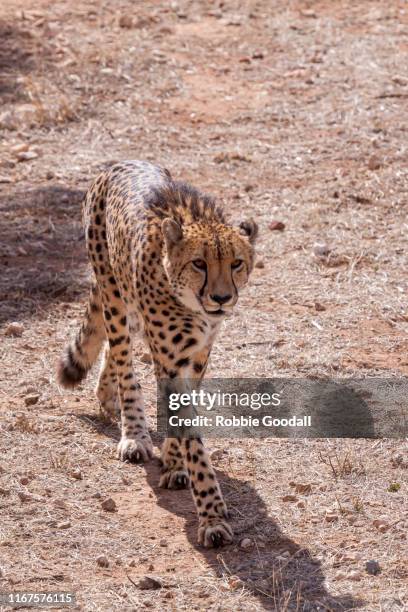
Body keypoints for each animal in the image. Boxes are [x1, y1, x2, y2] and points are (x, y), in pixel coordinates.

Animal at [57, 160, 256, 548]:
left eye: (237, 263)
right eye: (199, 263)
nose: (222, 298)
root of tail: (121, 163)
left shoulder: (199, 354)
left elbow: (179, 415)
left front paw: (176, 464)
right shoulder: (170, 358)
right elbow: (190, 435)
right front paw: (211, 517)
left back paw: (107, 397)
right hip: (113, 294)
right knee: (122, 358)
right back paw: (133, 433)